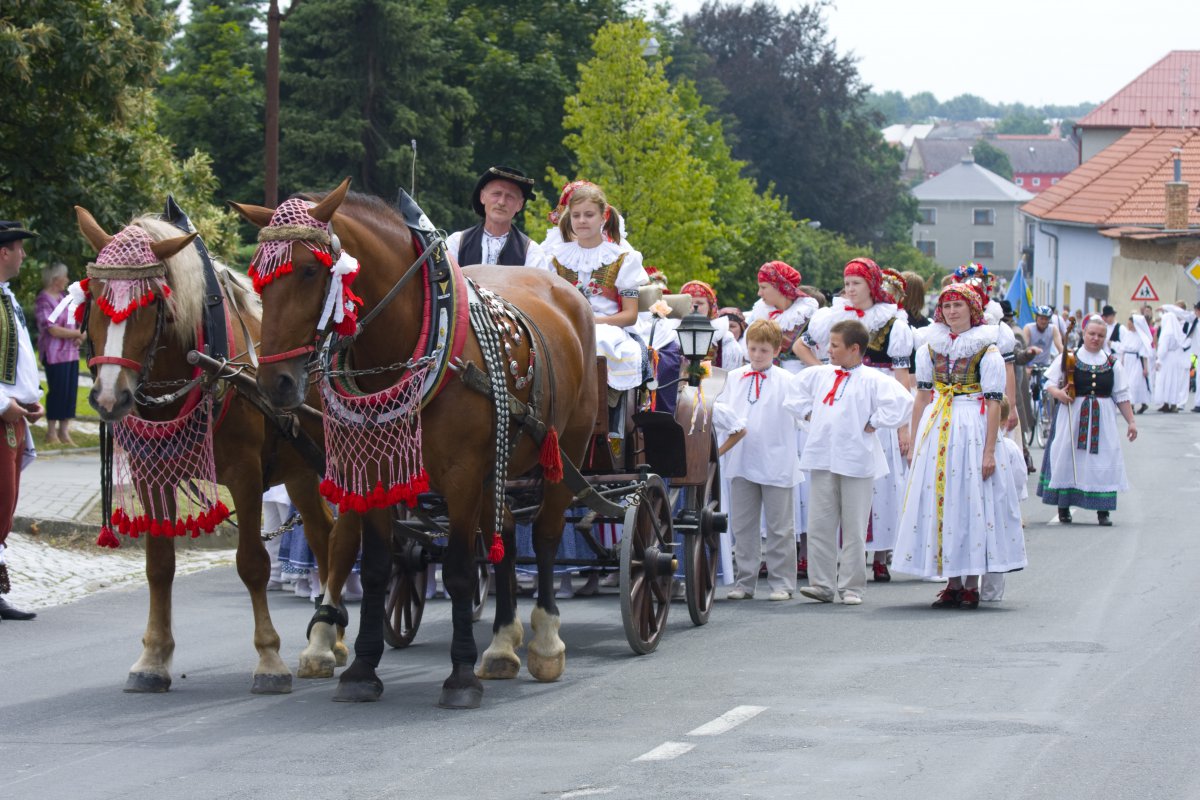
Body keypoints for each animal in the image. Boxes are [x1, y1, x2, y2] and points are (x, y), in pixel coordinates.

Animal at [75, 208, 350, 695]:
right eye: (94, 299)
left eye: (151, 303)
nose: (109, 397)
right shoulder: (152, 473)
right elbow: (159, 564)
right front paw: (153, 657)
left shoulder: (244, 474)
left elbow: (252, 563)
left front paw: (269, 659)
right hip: (300, 467)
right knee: (323, 534)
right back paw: (327, 644)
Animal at [229, 179, 595, 705]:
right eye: (258, 278)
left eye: (308, 270)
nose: (274, 383)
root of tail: (568, 295)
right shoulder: (377, 471)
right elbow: (378, 567)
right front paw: (362, 668)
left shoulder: (461, 476)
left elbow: (461, 569)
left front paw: (459, 676)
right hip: (498, 466)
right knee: (505, 535)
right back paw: (502, 645)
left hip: (568, 449)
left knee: (544, 536)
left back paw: (545, 641)